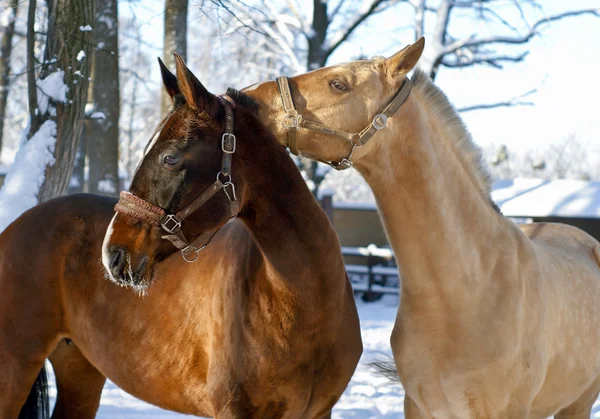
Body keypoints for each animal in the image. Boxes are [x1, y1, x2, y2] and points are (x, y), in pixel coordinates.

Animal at [1, 55, 360, 416]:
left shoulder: (320, 412)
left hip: (80, 370)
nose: (112, 254)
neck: (306, 306)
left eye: (170, 157)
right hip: (15, 367)